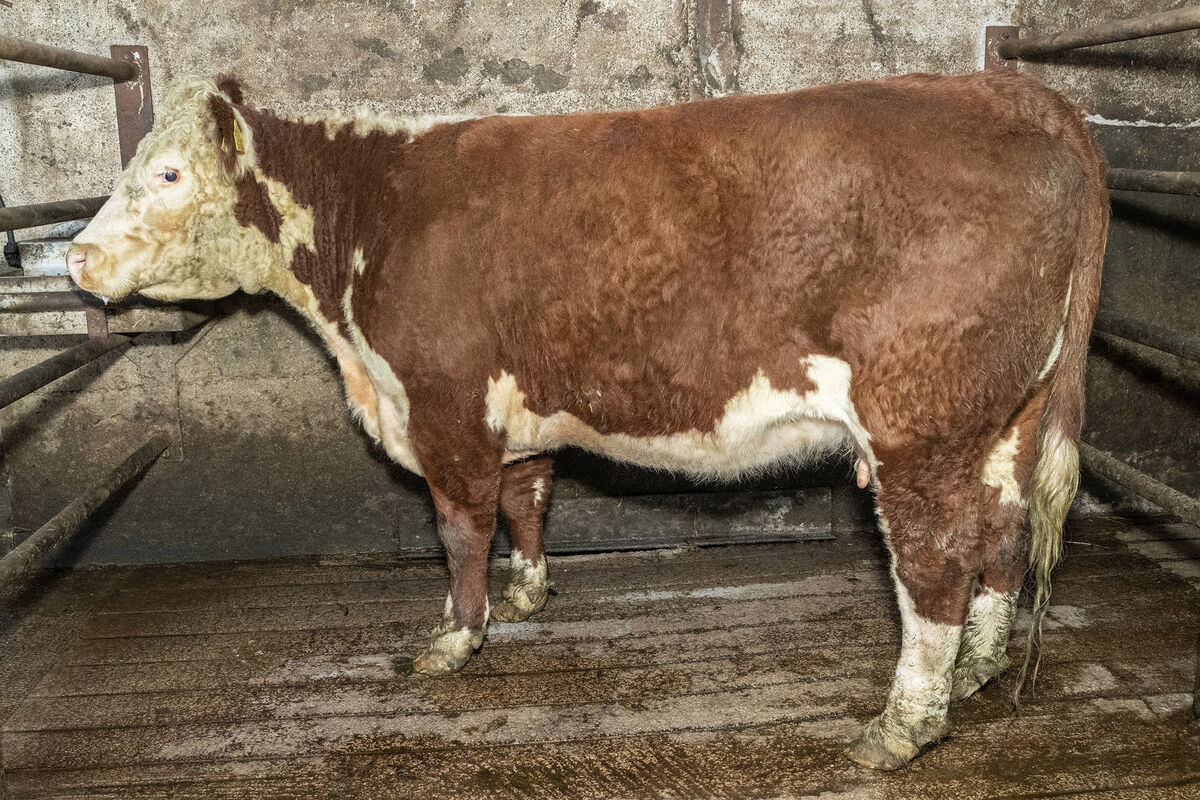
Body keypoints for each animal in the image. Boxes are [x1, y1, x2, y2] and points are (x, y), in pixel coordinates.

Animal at [66, 69, 1108, 769]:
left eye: (167, 173)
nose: (74, 259)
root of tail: (1010, 89)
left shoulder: (443, 404)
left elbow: (460, 527)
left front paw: (456, 638)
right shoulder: (516, 410)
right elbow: (527, 499)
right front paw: (529, 593)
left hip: (918, 424)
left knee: (935, 562)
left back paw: (903, 723)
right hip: (1009, 417)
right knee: (1003, 533)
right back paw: (977, 668)